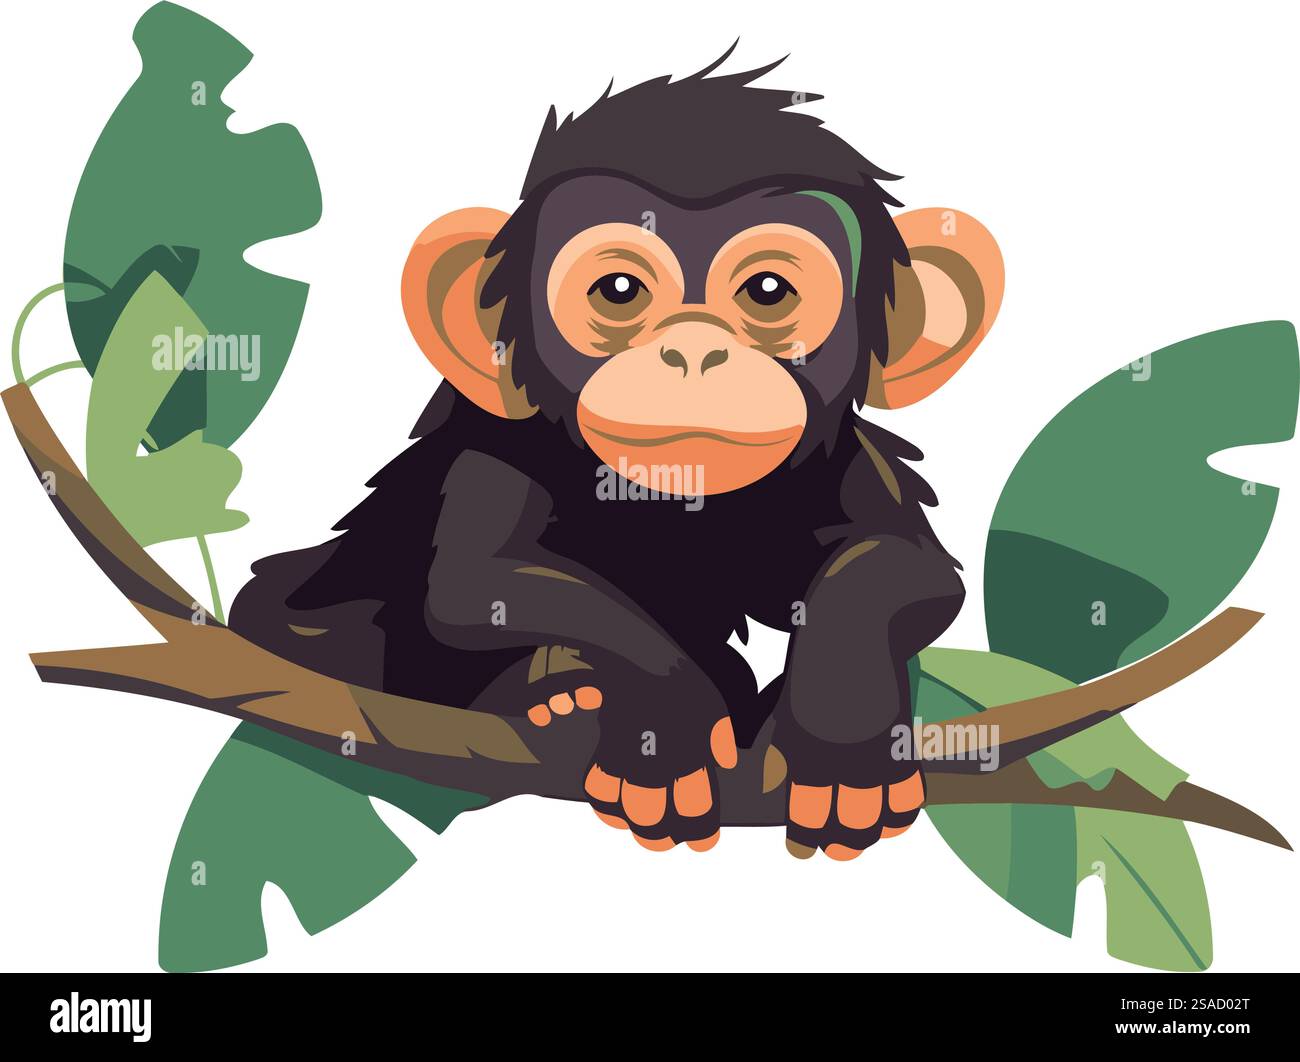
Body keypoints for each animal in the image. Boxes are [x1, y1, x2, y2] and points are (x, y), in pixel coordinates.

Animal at [229, 47, 1003, 860]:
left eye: (767, 290)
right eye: (619, 289)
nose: (692, 353)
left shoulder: (844, 462)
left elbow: (903, 565)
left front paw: (843, 728)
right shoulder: (495, 445)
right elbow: (479, 580)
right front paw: (663, 722)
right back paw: (560, 692)